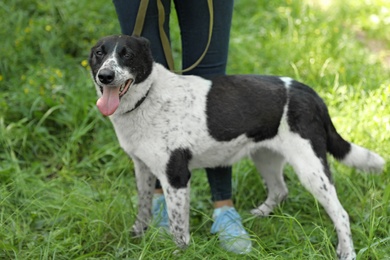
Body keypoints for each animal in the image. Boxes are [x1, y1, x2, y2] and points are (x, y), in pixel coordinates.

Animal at [88, 35, 384, 260]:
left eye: (127, 55)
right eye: (99, 54)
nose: (105, 76)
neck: (147, 97)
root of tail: (309, 92)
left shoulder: (177, 176)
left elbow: (178, 228)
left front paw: (178, 252)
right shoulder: (142, 167)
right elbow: (144, 207)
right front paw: (138, 235)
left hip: (311, 168)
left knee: (341, 213)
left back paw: (347, 251)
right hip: (265, 156)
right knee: (280, 190)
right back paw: (259, 215)